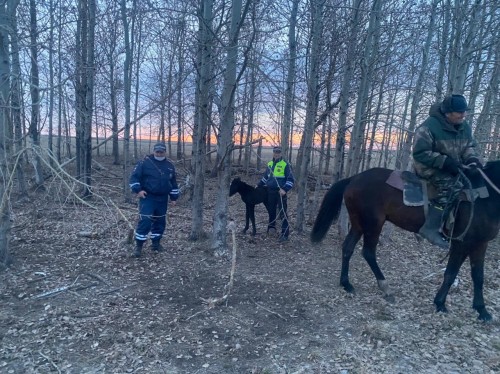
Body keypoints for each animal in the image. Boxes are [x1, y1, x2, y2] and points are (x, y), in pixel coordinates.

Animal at [312, 161, 500, 322]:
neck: (486, 199)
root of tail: (354, 178)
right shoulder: (461, 243)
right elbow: (451, 273)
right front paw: (440, 304)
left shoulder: (480, 243)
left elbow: (478, 276)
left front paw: (482, 310)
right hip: (373, 224)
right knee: (368, 252)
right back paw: (385, 287)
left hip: (358, 224)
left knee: (348, 248)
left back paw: (346, 283)